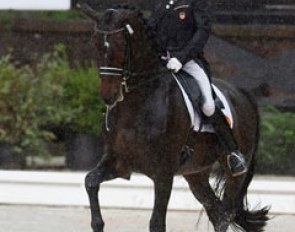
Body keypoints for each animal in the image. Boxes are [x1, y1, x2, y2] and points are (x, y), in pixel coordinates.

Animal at [79, 3, 270, 232]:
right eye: (95, 44)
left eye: (121, 45)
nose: (109, 96)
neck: (137, 104)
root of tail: (241, 93)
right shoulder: (118, 162)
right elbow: (90, 181)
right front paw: (98, 222)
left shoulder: (163, 174)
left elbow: (156, 223)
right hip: (196, 174)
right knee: (216, 213)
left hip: (234, 172)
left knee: (225, 213)